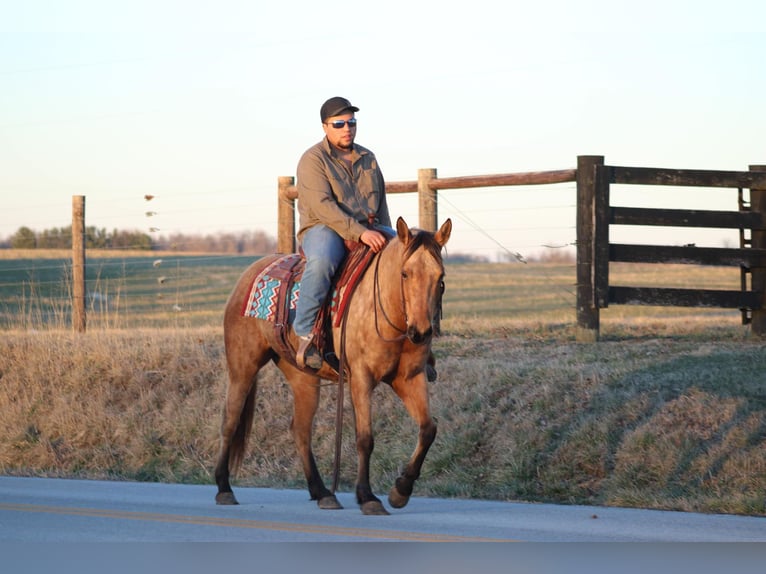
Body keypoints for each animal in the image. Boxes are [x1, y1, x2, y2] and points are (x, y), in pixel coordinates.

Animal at [213, 217, 452, 516]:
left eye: (440, 277)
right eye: (405, 274)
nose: (420, 332)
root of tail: (250, 273)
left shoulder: (410, 378)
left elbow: (428, 429)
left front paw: (401, 490)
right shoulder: (361, 378)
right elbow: (365, 438)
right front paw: (367, 496)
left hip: (304, 379)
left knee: (300, 430)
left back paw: (322, 492)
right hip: (242, 367)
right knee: (230, 421)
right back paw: (224, 488)